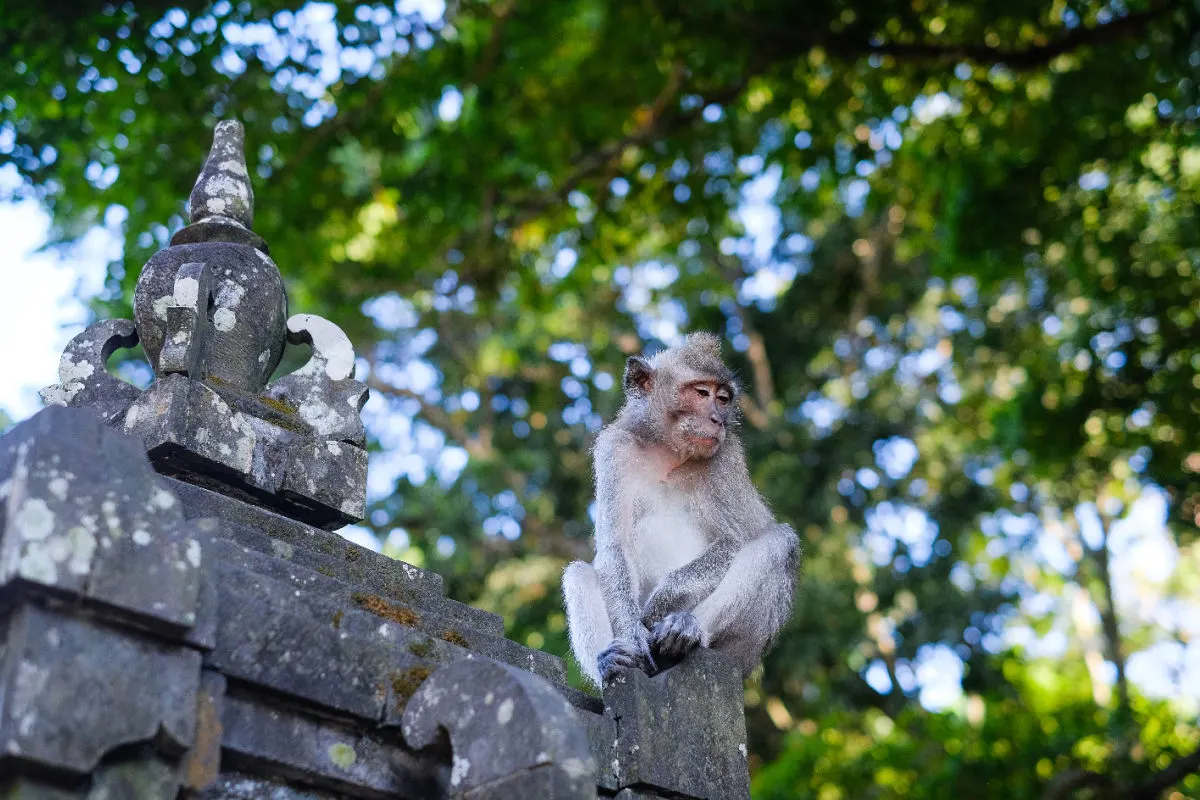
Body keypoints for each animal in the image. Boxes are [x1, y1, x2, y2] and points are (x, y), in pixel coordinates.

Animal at [562, 332, 799, 686]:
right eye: (702, 393)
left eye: (723, 398)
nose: (717, 420)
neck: (669, 452)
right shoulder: (614, 450)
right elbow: (615, 548)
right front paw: (632, 637)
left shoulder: (726, 458)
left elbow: (736, 540)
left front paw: (663, 602)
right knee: (578, 573)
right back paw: (611, 663)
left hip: (744, 649)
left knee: (780, 543)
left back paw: (687, 628)